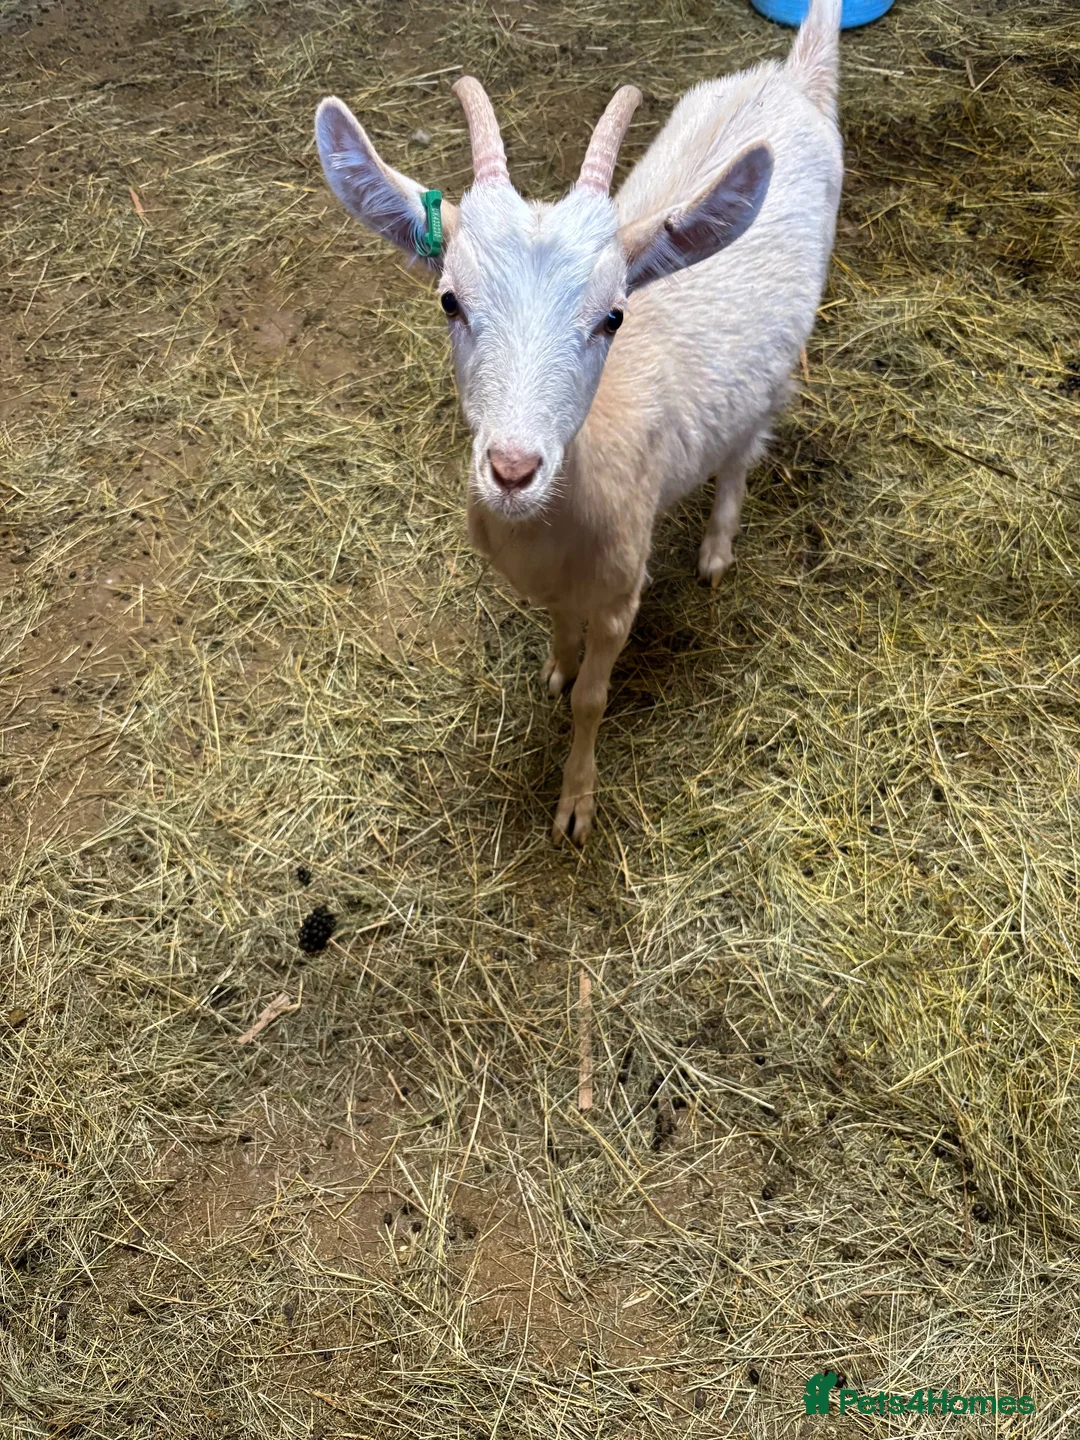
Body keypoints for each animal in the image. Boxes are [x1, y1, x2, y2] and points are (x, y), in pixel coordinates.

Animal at [314, 0, 843, 845]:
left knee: (744, 446)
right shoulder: (552, 581)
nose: (512, 470)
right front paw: (557, 667)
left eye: (612, 316)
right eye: (450, 300)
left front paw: (574, 803)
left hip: (783, 354)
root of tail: (790, 78)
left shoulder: (623, 585)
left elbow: (596, 698)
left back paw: (717, 548)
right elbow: (558, 631)